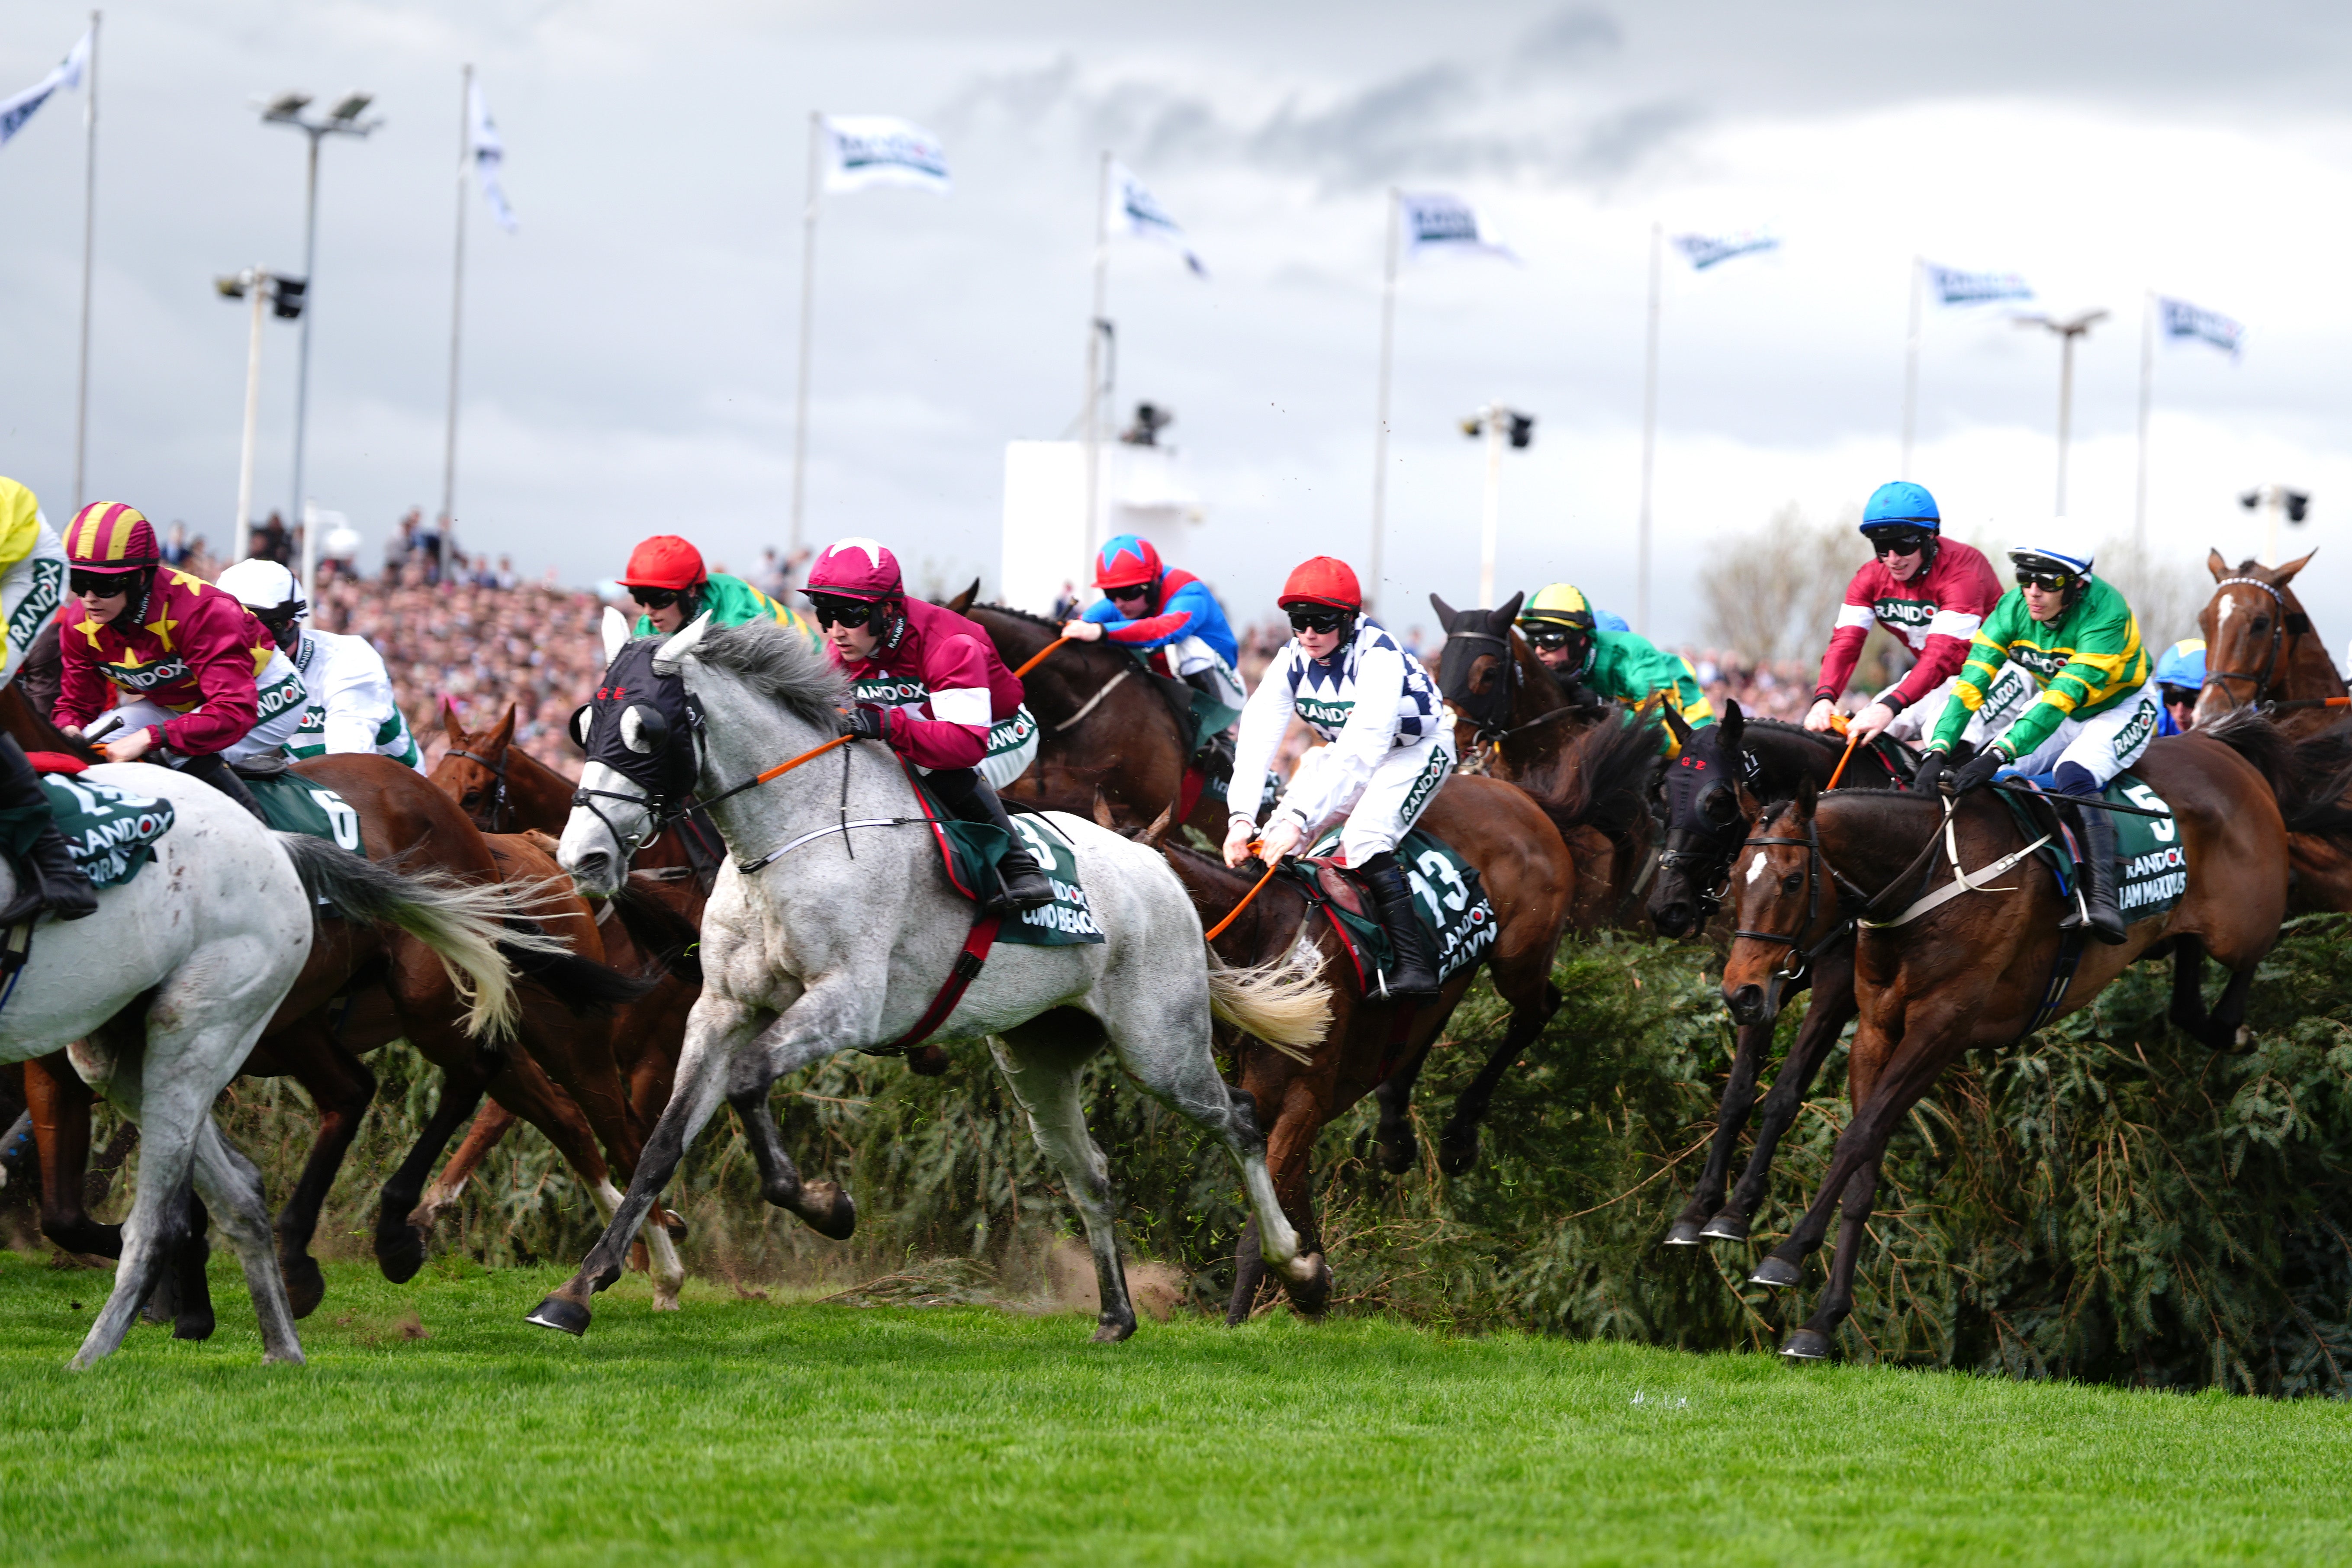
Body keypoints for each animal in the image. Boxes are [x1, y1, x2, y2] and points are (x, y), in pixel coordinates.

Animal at [538, 620, 1345, 1344]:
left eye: (645, 730)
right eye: (587, 723)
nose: (582, 857)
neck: (790, 835)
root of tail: (1161, 866)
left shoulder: (846, 1005)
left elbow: (747, 1080)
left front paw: (825, 1204)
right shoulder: (722, 1007)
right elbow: (660, 1144)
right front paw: (578, 1289)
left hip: (1161, 1046)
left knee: (1240, 1119)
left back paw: (1302, 1272)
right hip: (1038, 1057)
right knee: (1090, 1172)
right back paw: (1116, 1315)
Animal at [1646, 705, 1919, 1260]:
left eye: (1718, 801)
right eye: (1660, 793)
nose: (1668, 907)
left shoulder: (1837, 986)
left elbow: (1784, 1093)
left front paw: (1736, 1210)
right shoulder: (1759, 979)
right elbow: (1738, 1090)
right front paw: (1698, 1207)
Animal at [1721, 719, 2286, 1354]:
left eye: (1793, 880)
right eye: (1733, 879)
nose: (1741, 993)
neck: (1927, 877)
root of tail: (2223, 749)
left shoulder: (1941, 1029)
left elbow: (1856, 1138)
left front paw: (1786, 1253)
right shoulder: (1875, 1028)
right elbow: (1864, 1161)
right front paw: (1821, 1320)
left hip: (2243, 921)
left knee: (2255, 949)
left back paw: (2235, 1027)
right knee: (2187, 990)